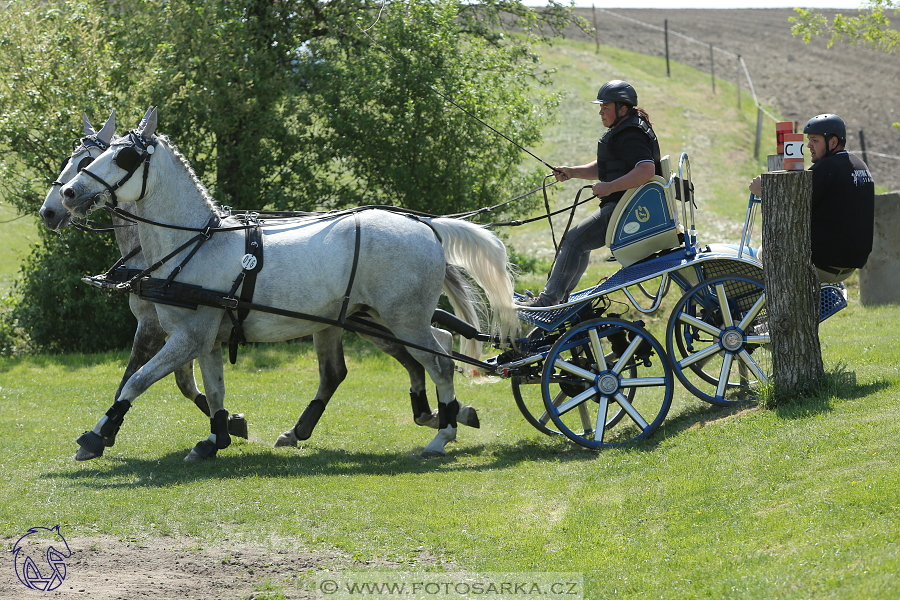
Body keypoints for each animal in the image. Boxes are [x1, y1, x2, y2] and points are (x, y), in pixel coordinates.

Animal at [59, 108, 516, 460]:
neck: (196, 243)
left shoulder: (187, 336)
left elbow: (136, 380)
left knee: (440, 362)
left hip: (404, 318)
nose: (66, 195)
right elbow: (214, 389)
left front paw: (96, 436)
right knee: (388, 361)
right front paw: (216, 437)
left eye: (125, 157)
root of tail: (425, 224)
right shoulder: (204, 338)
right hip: (376, 318)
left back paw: (443, 433)